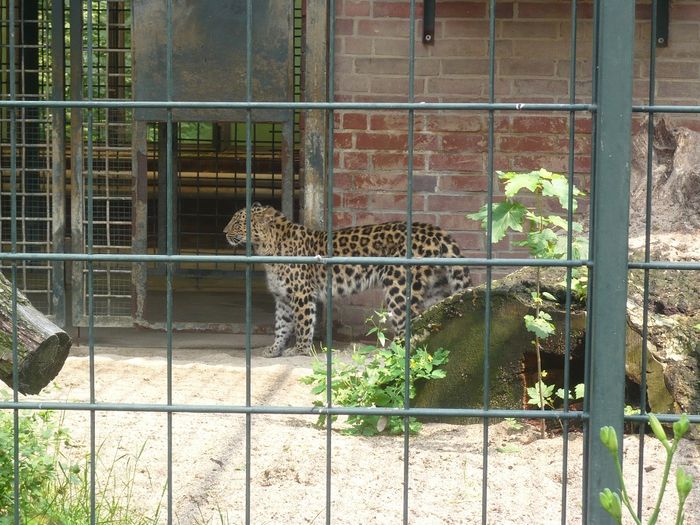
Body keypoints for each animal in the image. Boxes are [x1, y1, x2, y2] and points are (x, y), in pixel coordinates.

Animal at [224, 203, 470, 358]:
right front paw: (274, 350)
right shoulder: (283, 297)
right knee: (432, 318)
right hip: (436, 288)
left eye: (238, 222)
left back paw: (395, 352)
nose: (224, 231)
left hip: (400, 287)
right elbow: (281, 326)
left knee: (407, 321)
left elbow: (303, 324)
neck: (267, 247)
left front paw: (300, 350)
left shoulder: (302, 295)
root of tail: (436, 231)